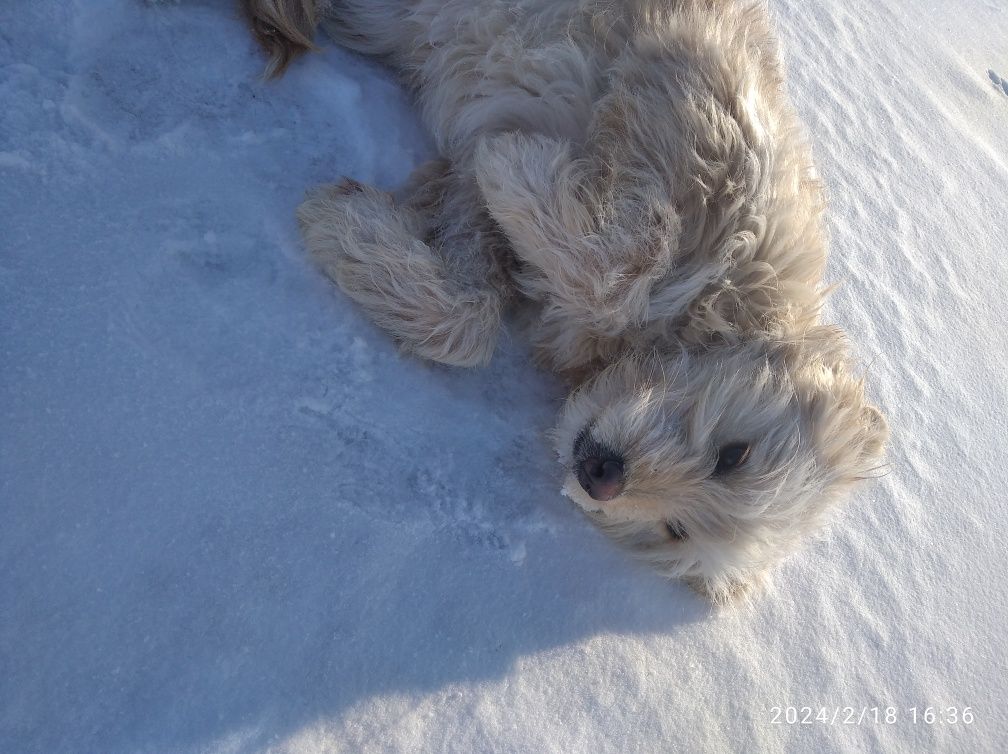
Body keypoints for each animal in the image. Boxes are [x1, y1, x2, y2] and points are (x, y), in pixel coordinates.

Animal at [241, 0, 891, 600]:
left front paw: (347, 229)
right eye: (735, 456)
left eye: (675, 529)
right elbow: (629, 256)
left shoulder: (476, 208)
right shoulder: (688, 80)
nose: (602, 477)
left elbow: (467, 319)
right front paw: (515, 159)